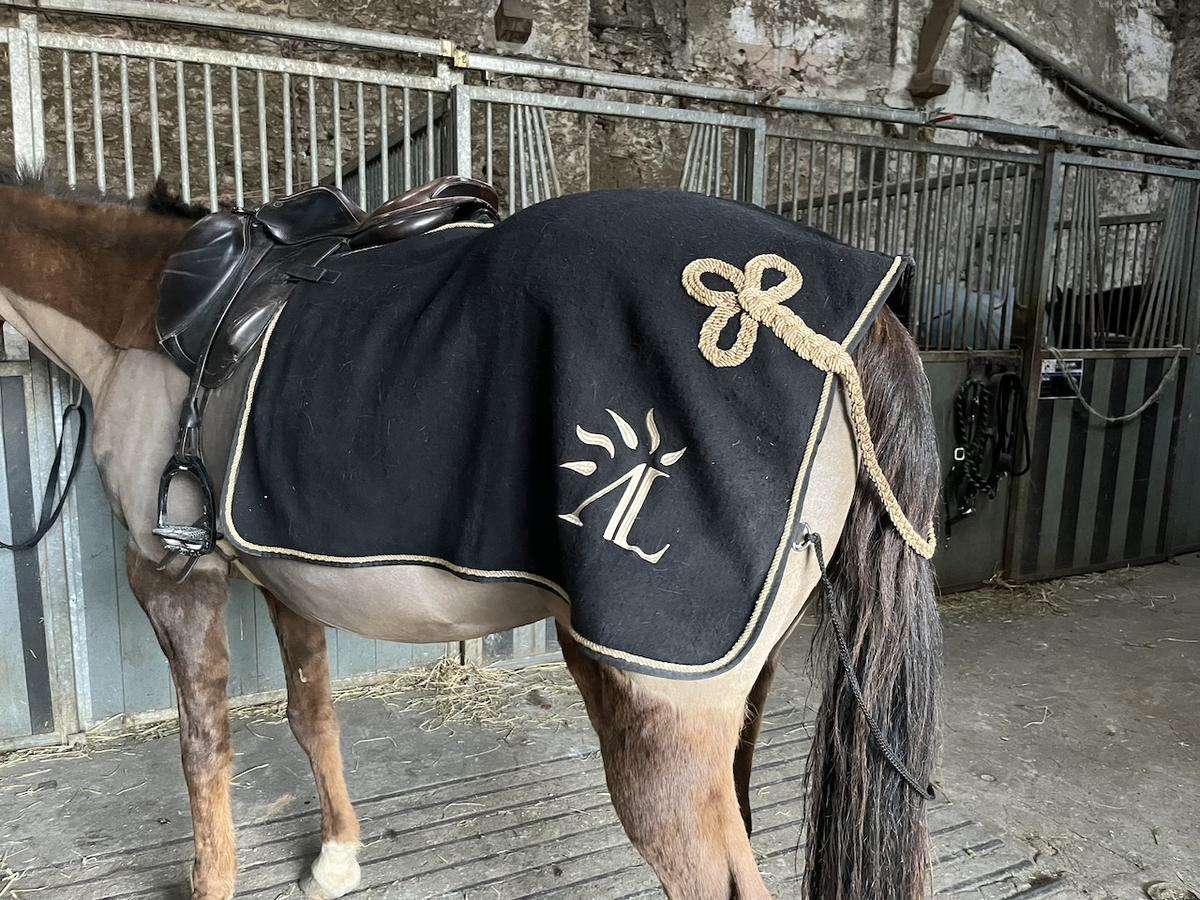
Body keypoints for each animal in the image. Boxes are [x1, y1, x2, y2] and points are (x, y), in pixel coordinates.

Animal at [0, 170, 942, 900]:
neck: (138, 309)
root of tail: (856, 329)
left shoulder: (170, 577)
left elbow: (205, 750)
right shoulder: (284, 575)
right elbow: (311, 714)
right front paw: (335, 858)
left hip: (658, 717)